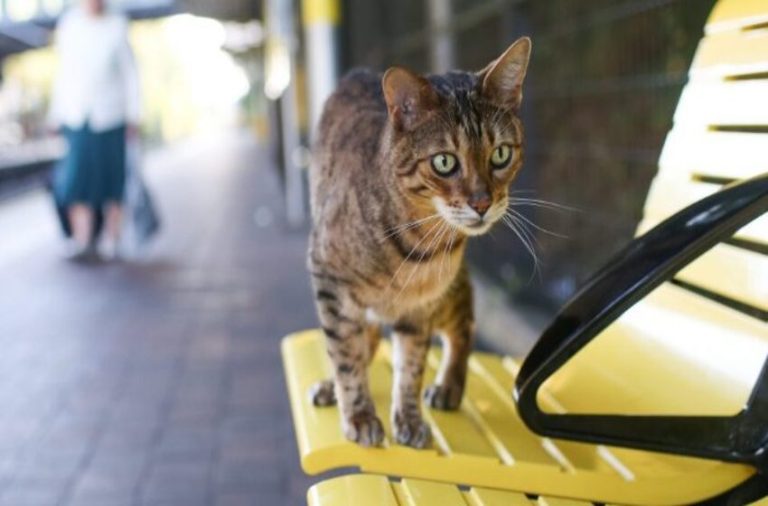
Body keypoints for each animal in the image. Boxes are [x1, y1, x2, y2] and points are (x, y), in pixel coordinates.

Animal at [308, 38, 532, 450]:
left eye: (501, 154)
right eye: (444, 162)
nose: (482, 203)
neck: (419, 246)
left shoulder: (419, 309)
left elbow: (410, 368)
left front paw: (408, 418)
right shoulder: (329, 279)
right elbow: (345, 356)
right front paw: (359, 413)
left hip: (443, 301)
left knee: (465, 322)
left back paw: (449, 386)